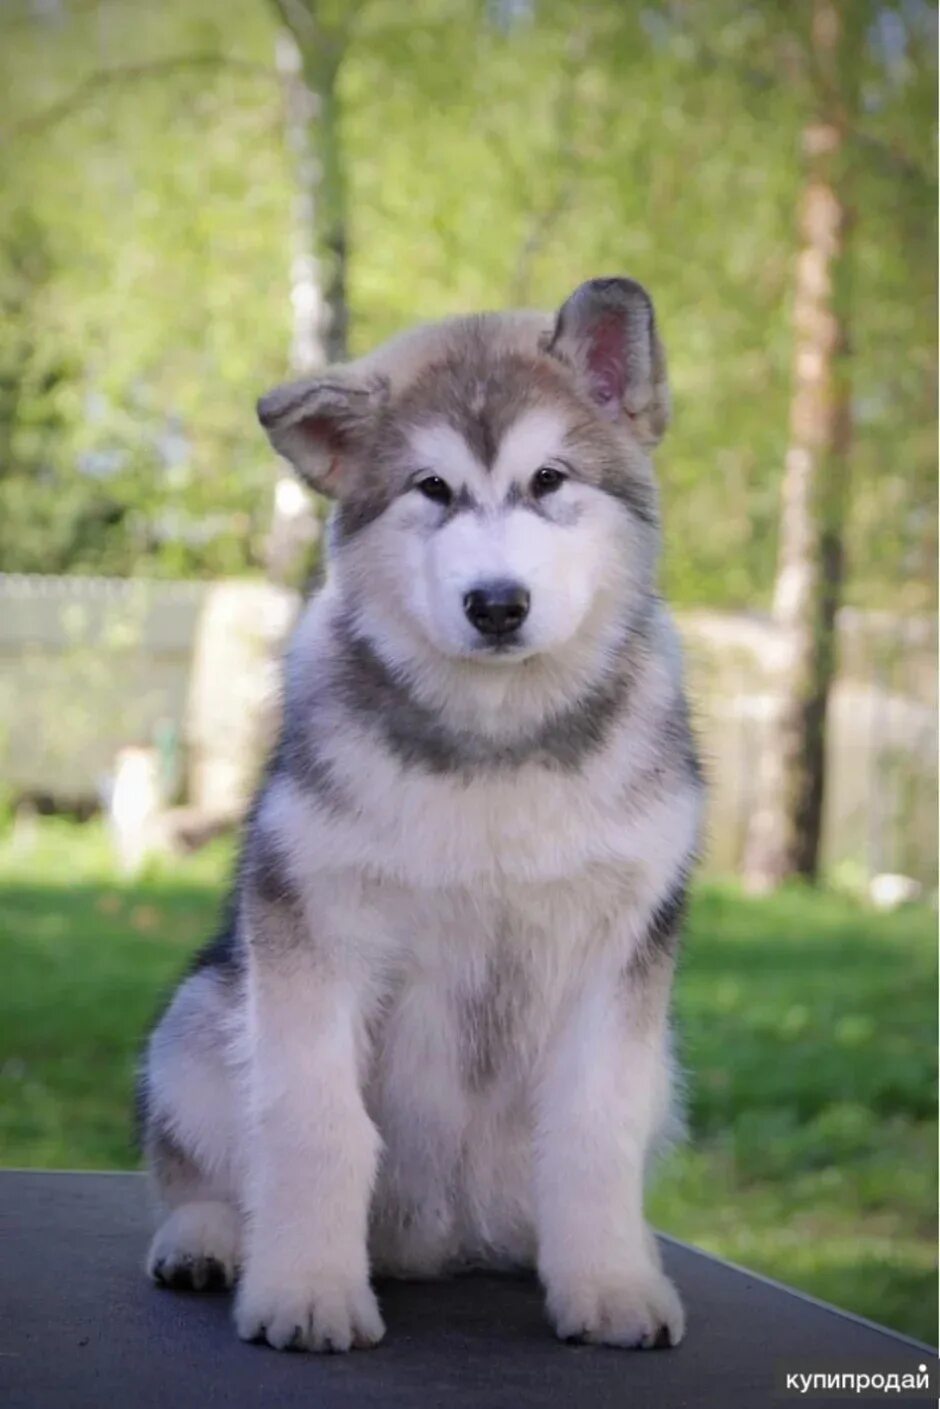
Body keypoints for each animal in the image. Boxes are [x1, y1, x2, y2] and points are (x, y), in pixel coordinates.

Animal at [138, 277, 699, 1352]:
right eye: (430, 489)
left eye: (550, 479)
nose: (497, 604)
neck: (496, 746)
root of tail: (446, 1245)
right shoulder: (313, 927)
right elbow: (314, 1124)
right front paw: (307, 1290)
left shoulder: (618, 949)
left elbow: (594, 1126)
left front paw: (610, 1283)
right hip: (201, 1013)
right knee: (202, 1169)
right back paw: (208, 1239)